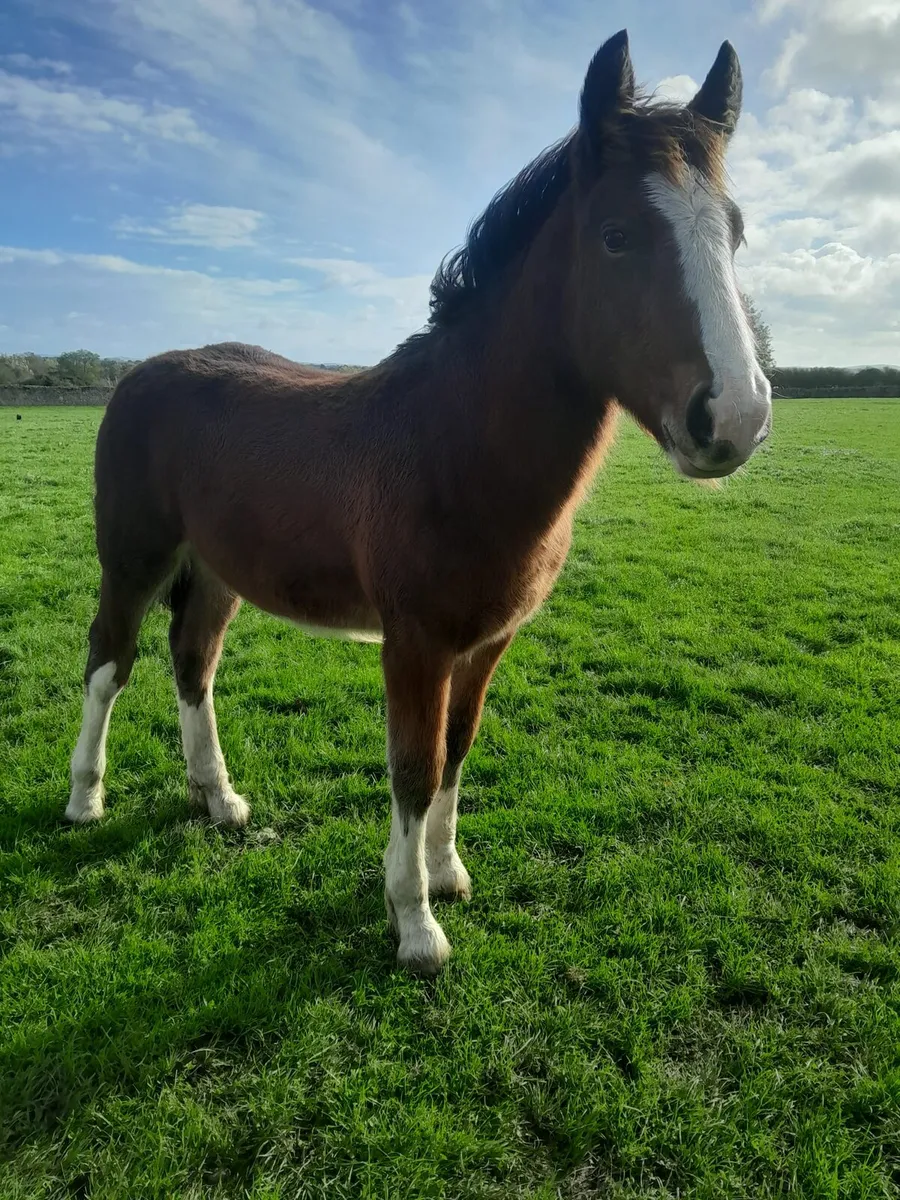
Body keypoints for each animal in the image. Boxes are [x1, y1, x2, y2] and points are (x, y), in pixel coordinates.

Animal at [66, 31, 772, 974]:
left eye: (733, 232)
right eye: (617, 235)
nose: (734, 417)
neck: (455, 445)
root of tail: (141, 372)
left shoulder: (485, 643)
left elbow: (455, 753)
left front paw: (446, 874)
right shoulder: (415, 644)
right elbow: (413, 765)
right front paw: (415, 925)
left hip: (214, 572)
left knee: (192, 662)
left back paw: (218, 799)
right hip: (134, 555)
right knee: (110, 658)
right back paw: (85, 798)